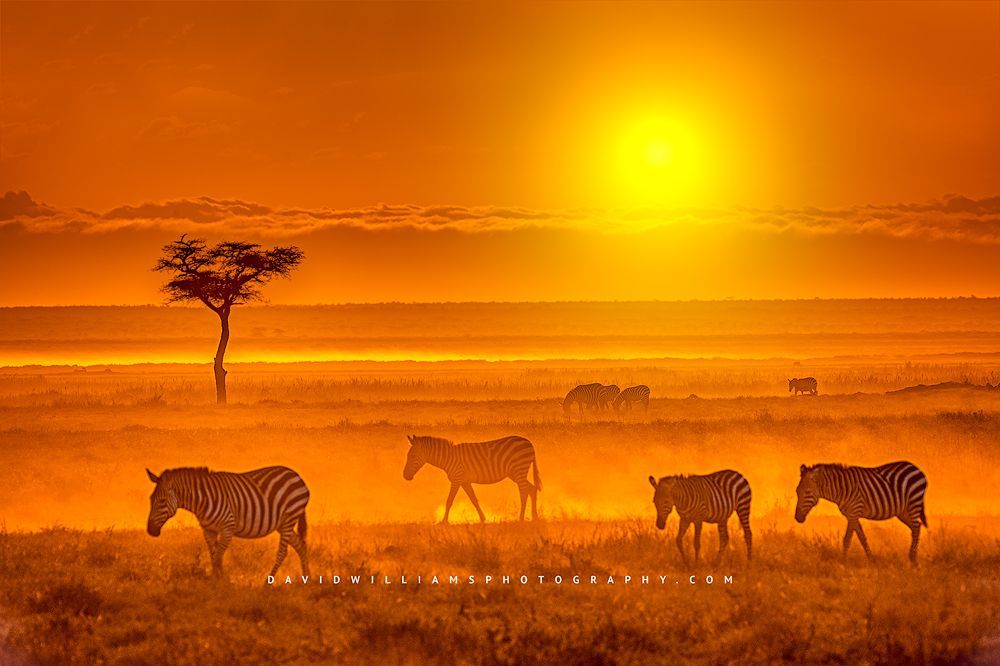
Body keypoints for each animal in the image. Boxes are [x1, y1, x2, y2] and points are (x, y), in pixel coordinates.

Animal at [145, 466, 310, 579]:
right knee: (301, 546)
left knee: (282, 552)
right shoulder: (208, 530)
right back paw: (306, 579)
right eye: (151, 499)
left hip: (289, 518)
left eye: (162, 501)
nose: (150, 531)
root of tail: (296, 475)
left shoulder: (227, 528)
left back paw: (267, 584)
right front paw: (220, 580)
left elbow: (218, 557)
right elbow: (214, 556)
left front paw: (219, 582)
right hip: (282, 524)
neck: (203, 500)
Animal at [403, 435, 542, 523]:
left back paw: (521, 518)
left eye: (413, 456)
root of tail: (529, 442)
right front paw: (483, 518)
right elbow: (474, 500)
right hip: (515, 473)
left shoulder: (457, 479)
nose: (405, 476)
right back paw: (534, 517)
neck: (448, 458)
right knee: (532, 489)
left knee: (524, 492)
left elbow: (449, 501)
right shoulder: (465, 481)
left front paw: (444, 521)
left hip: (519, 470)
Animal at [795, 461, 928, 564]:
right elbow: (862, 538)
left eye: (807, 492)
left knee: (916, 527)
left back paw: (913, 559)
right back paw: (912, 557)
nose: (797, 518)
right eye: (797, 491)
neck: (841, 489)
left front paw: (843, 562)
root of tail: (916, 468)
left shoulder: (854, 513)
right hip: (903, 511)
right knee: (916, 527)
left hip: (913, 503)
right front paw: (871, 560)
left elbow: (847, 539)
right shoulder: (852, 515)